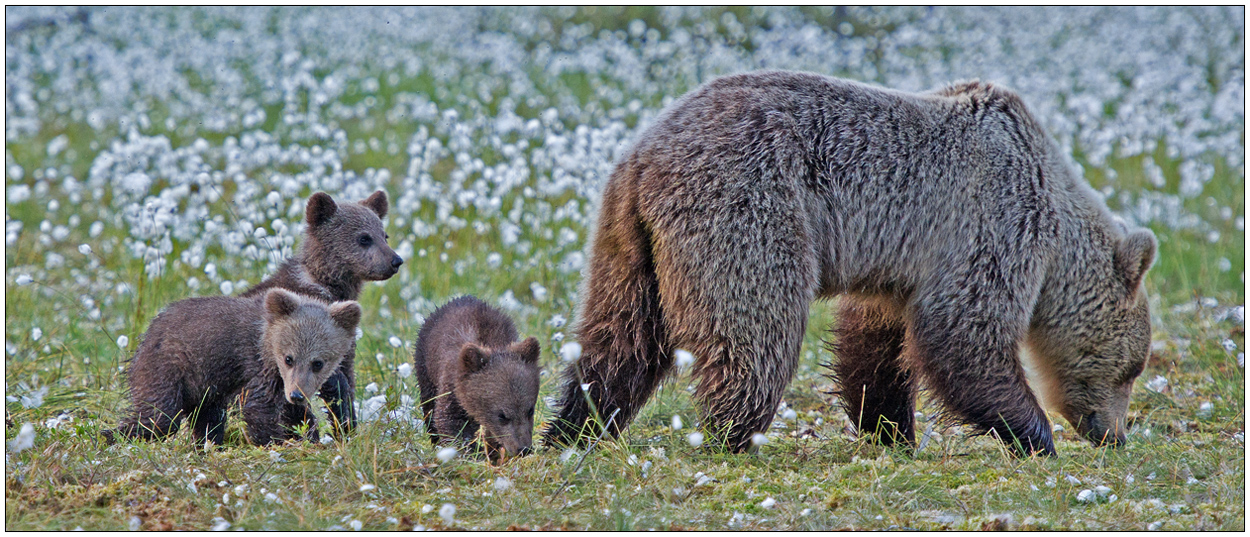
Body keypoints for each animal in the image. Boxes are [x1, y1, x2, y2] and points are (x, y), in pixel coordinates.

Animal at [542, 69, 1155, 454]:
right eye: (1133, 368)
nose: (1114, 434)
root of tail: (644, 156)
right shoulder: (994, 220)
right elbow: (965, 329)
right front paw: (1034, 435)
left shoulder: (898, 263)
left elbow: (877, 345)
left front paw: (890, 430)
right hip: (747, 206)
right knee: (756, 329)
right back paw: (733, 437)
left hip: (627, 243)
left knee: (618, 338)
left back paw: (571, 429)